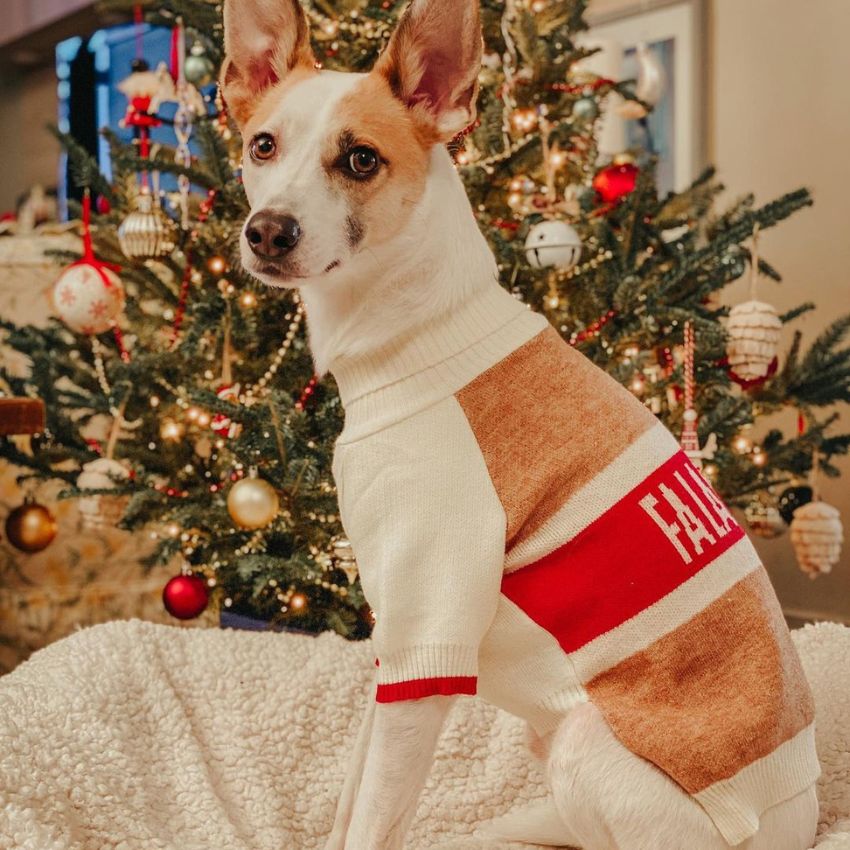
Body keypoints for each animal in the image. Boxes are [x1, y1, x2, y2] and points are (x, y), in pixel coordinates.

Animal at [222, 1, 820, 848]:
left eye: (361, 159)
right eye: (262, 146)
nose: (267, 232)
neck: (422, 330)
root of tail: (797, 810)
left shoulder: (430, 639)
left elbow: (373, 817)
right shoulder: (394, 642)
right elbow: (349, 805)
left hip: (583, 744)